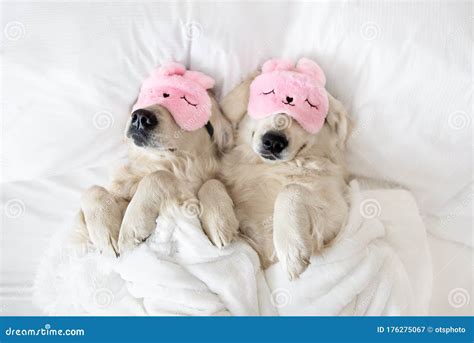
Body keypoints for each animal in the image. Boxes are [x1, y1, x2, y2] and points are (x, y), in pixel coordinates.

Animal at [72, 65, 239, 258]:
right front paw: (105, 231)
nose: (141, 117)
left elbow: (161, 176)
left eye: (188, 103)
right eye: (151, 94)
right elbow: (92, 190)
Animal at [220, 58, 350, 280]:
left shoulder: (337, 217)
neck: (273, 168)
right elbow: (212, 183)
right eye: (267, 95)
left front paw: (292, 248)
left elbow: (291, 189)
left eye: (310, 107)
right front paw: (219, 222)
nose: (274, 141)